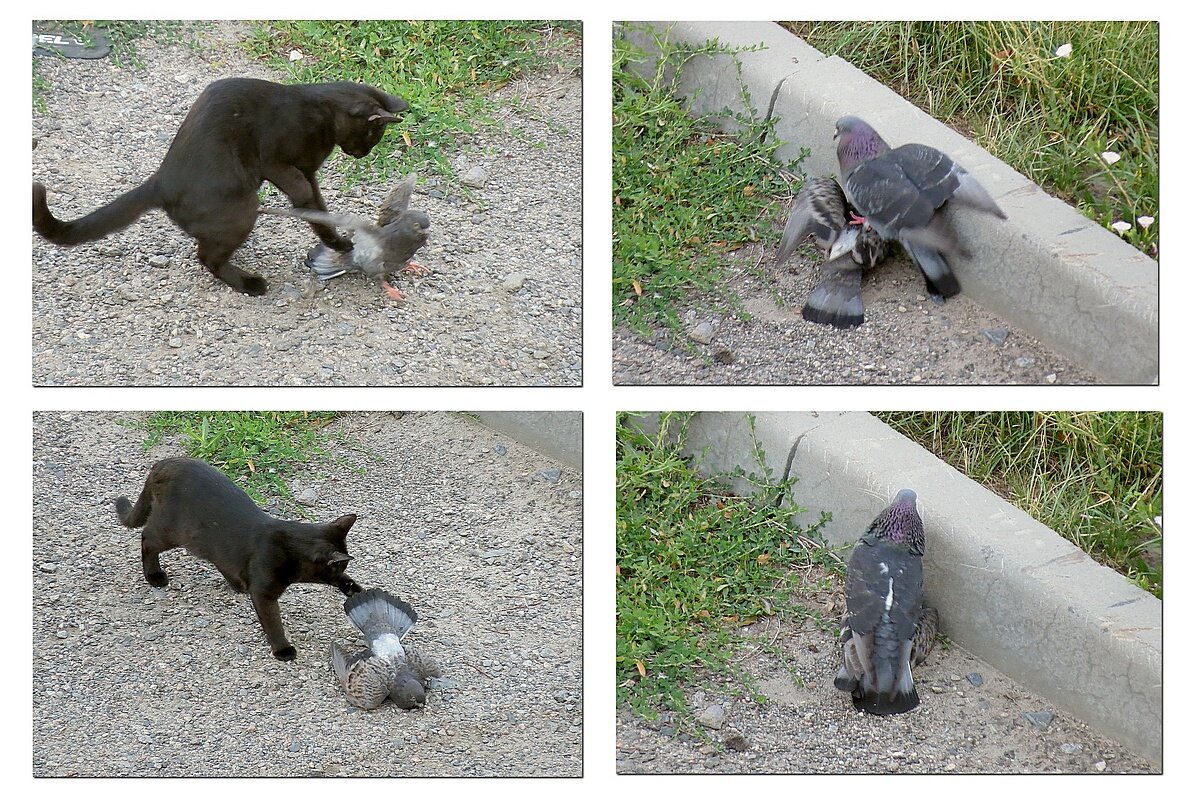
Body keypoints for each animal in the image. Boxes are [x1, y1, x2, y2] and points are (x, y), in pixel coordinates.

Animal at [32, 77, 408, 297]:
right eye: (372, 136)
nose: (363, 154)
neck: (321, 113)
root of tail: (160, 181)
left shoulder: (309, 171)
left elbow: (319, 210)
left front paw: (336, 240)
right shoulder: (277, 163)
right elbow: (303, 195)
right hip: (244, 206)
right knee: (206, 257)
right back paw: (249, 283)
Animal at [114, 455, 362, 662]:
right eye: (339, 567)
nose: (341, 573)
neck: (289, 544)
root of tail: (164, 463)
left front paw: (356, 589)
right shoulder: (263, 594)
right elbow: (273, 622)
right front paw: (282, 649)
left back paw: (236, 582)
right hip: (171, 532)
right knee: (147, 537)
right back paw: (154, 575)